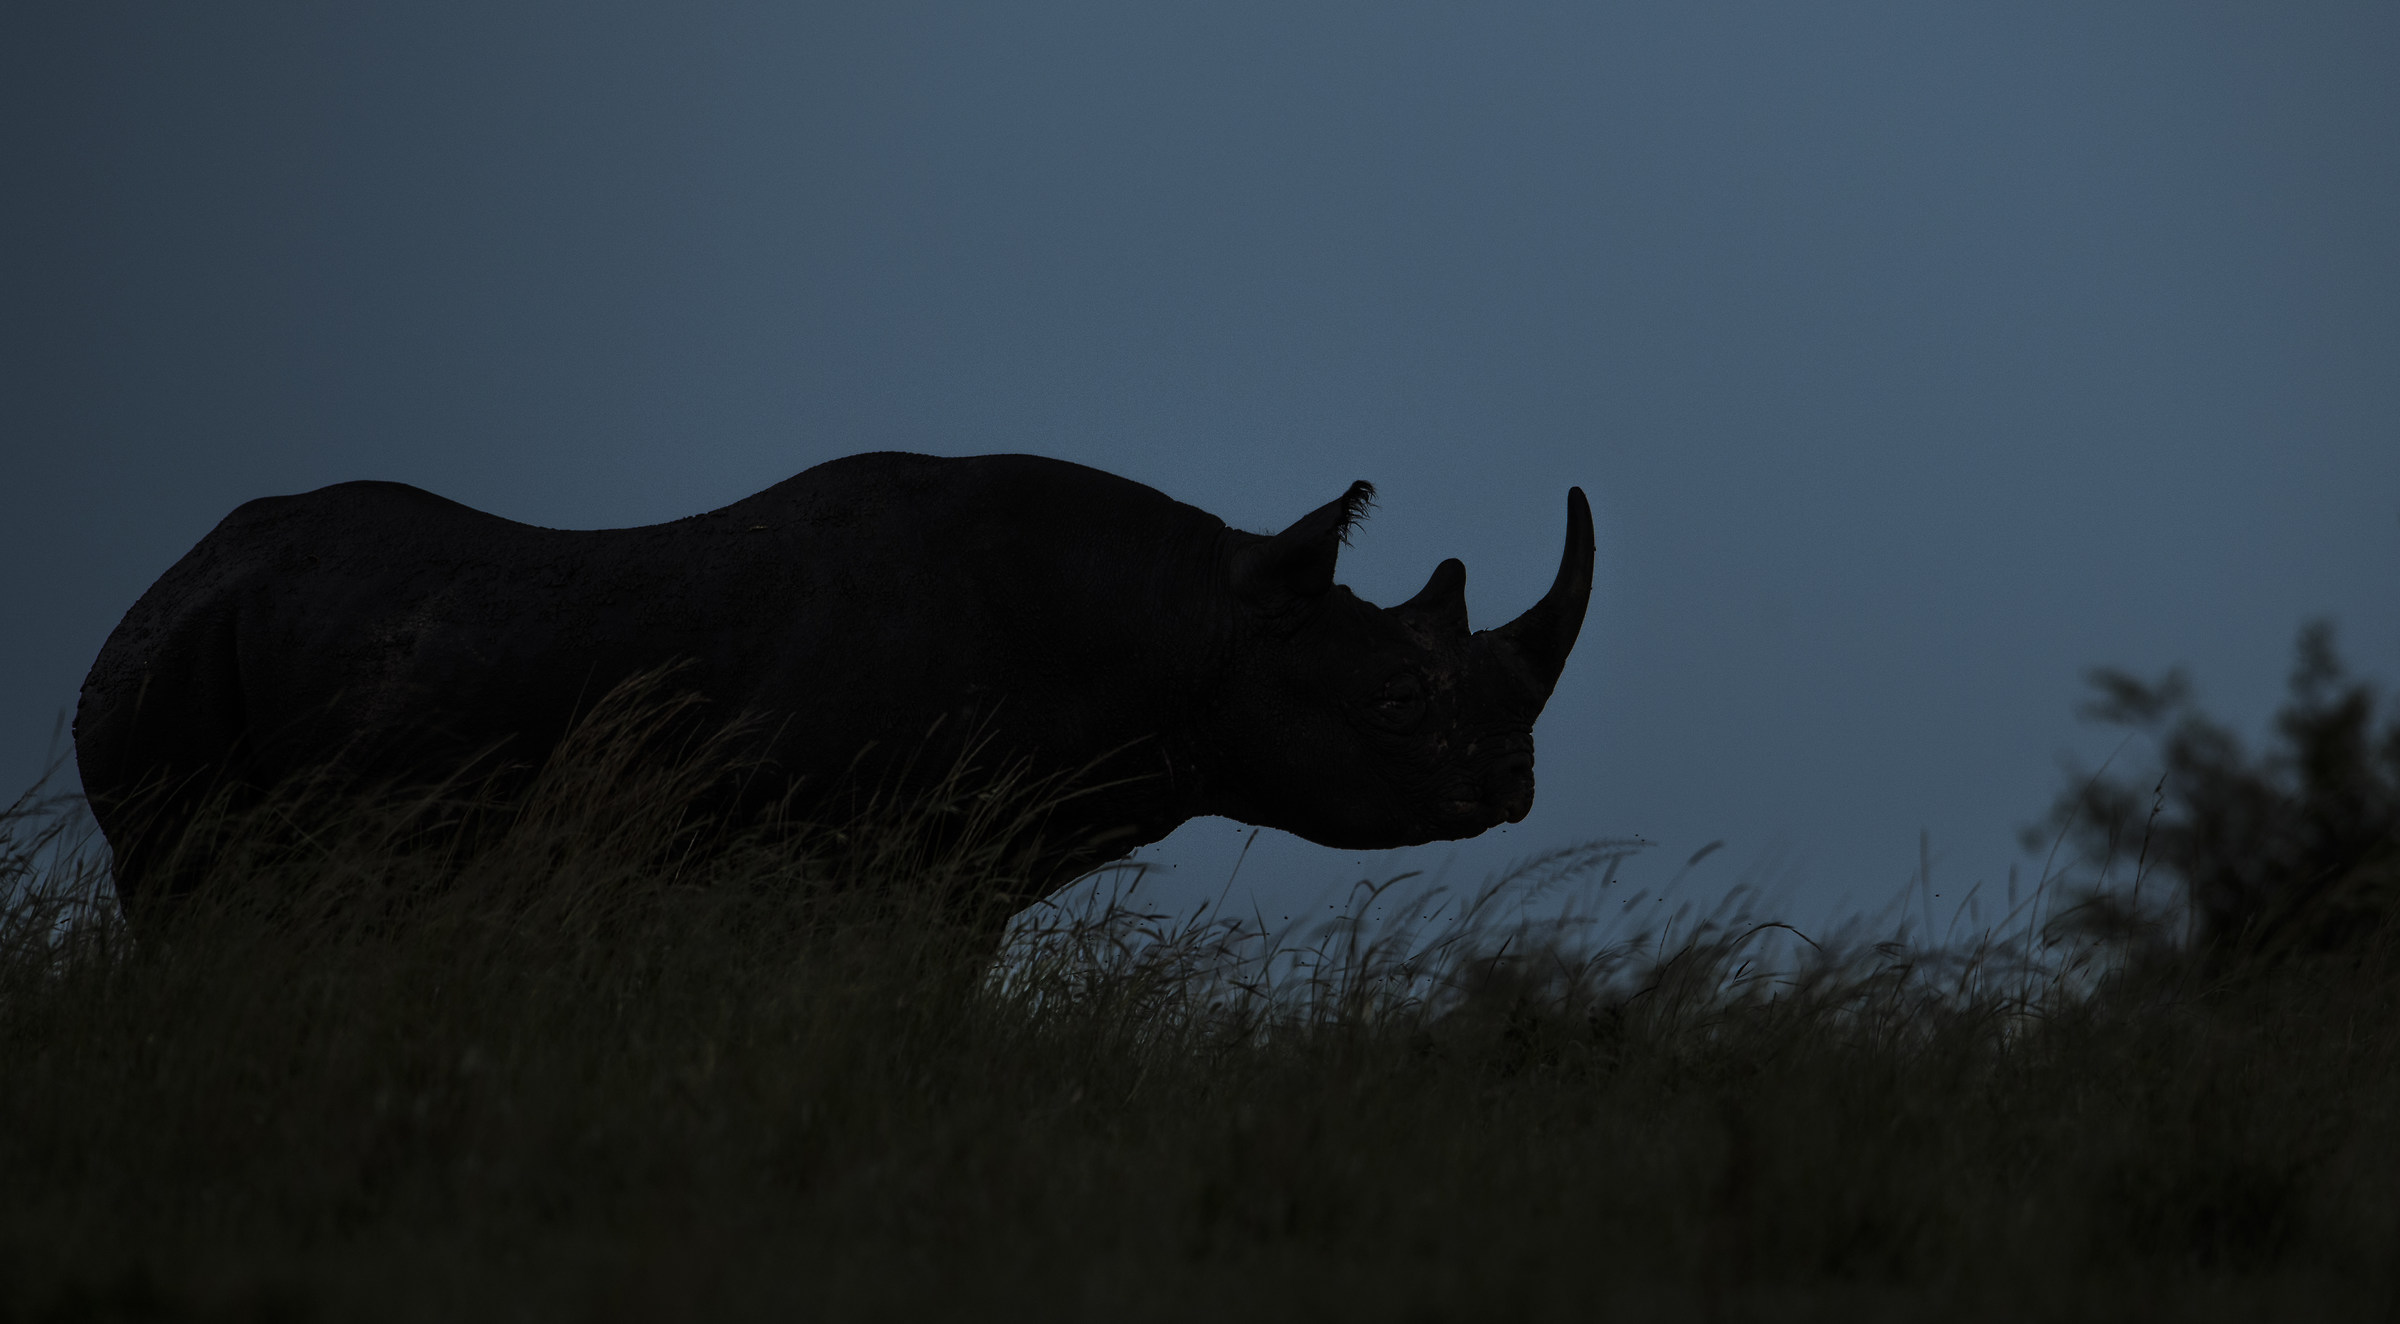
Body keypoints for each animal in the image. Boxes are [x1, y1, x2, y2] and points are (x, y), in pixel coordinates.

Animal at [76, 452, 1593, 917]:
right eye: (1398, 704)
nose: (1514, 786)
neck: (1189, 627)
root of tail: (168, 583)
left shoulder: (956, 862)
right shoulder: (828, 855)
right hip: (169, 675)